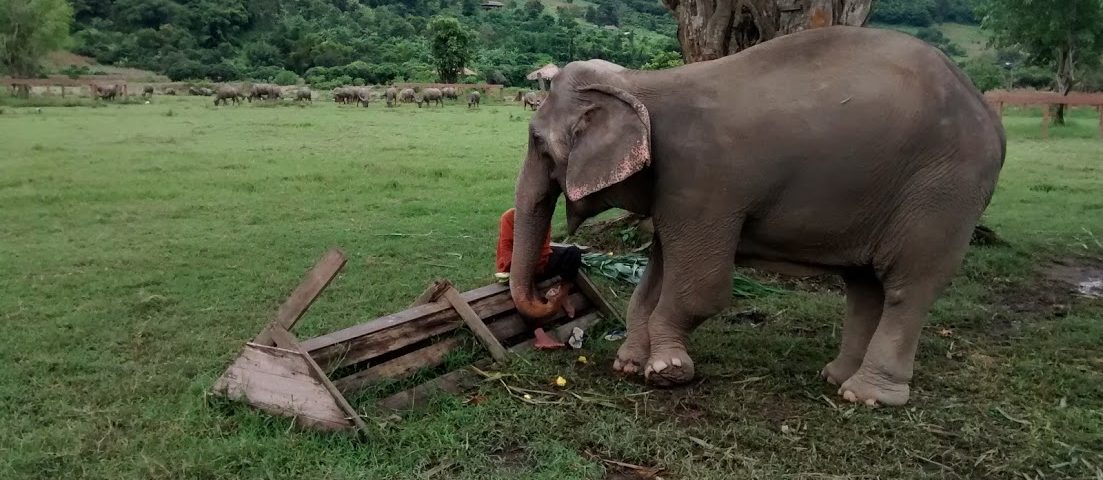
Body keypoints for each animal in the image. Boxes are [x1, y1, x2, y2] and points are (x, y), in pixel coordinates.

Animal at [506, 27, 1005, 407]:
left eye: (538, 144)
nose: (554, 289)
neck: (641, 83)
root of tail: (988, 113)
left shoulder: (704, 182)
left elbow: (703, 289)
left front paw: (665, 371)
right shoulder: (676, 193)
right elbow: (653, 280)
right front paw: (628, 363)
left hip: (943, 191)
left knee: (908, 287)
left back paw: (866, 396)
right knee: (864, 287)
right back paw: (835, 377)